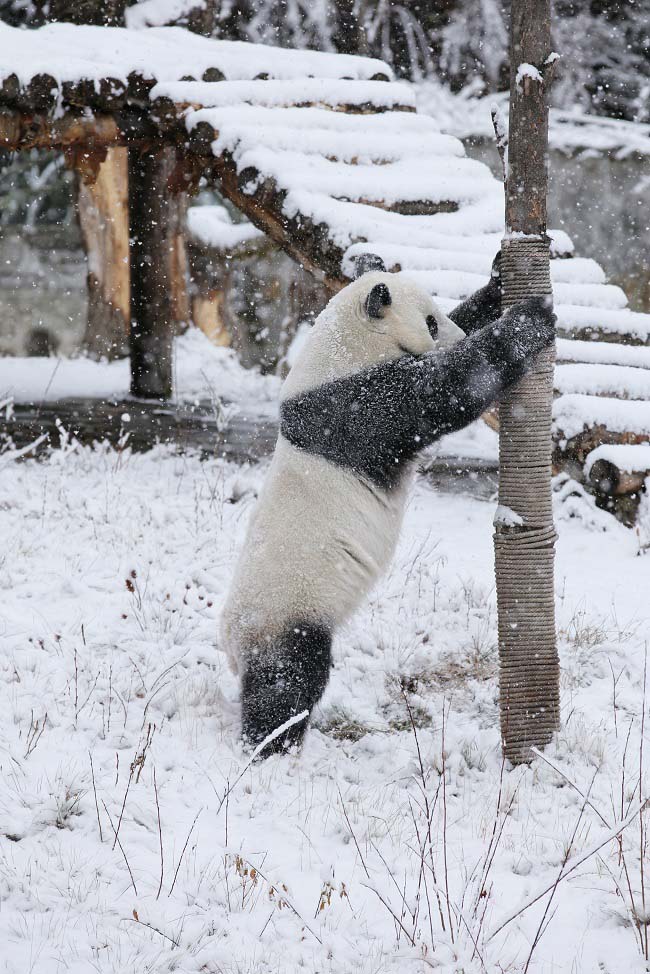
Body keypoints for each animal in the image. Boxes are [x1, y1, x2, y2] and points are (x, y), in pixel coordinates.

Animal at [221, 255, 552, 760]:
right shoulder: (352, 409)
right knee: (287, 679)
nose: (453, 333)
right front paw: (530, 320)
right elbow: (442, 391)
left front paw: (496, 282)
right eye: (431, 322)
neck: (343, 345)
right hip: (286, 611)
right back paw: (272, 745)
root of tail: (230, 642)